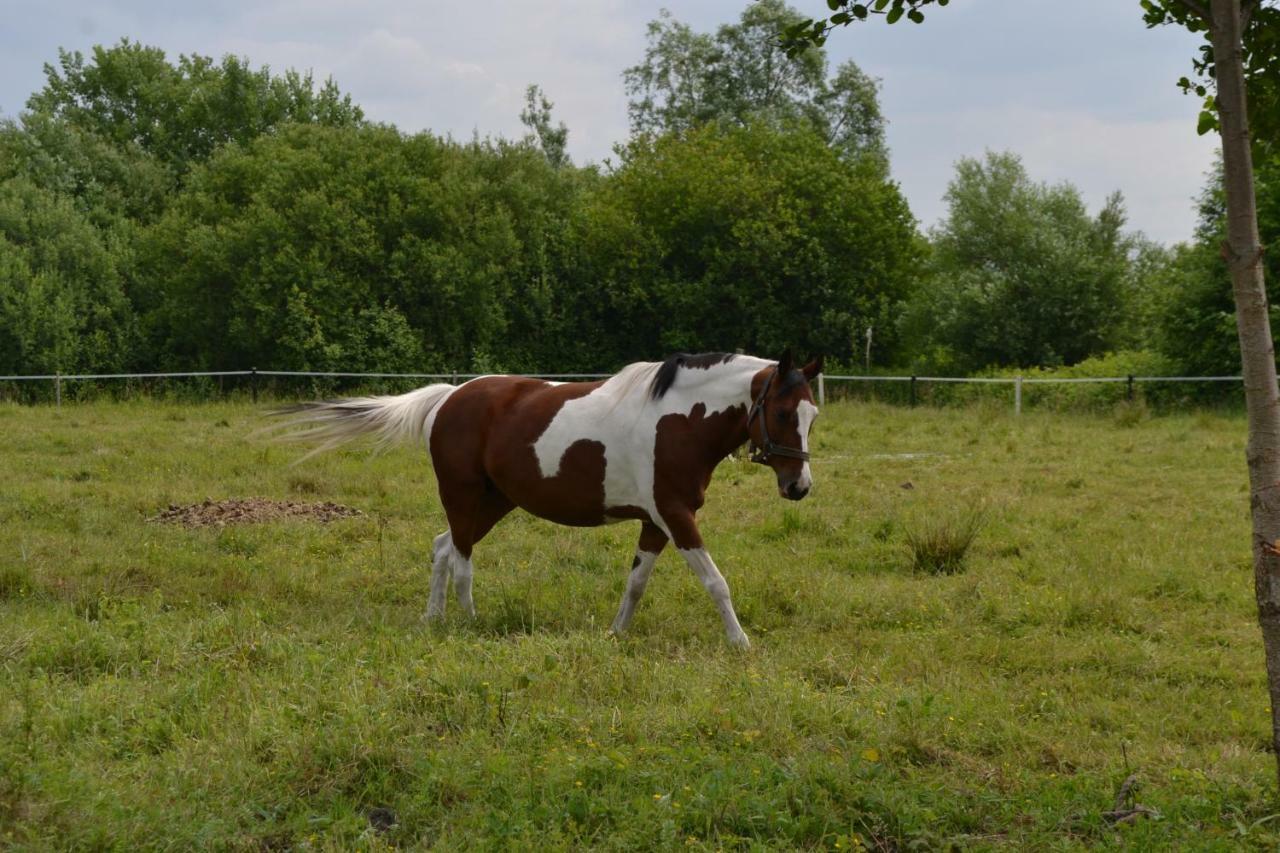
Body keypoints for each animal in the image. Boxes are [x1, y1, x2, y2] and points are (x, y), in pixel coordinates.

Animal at [275, 348, 824, 645]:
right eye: (781, 413)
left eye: (812, 414)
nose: (798, 487)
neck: (679, 421)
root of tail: (449, 396)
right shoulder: (676, 515)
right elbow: (716, 582)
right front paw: (741, 642)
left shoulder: (656, 521)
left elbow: (636, 584)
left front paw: (616, 633)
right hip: (464, 495)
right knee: (461, 559)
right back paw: (470, 621)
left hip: (495, 501)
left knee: (442, 547)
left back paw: (435, 618)